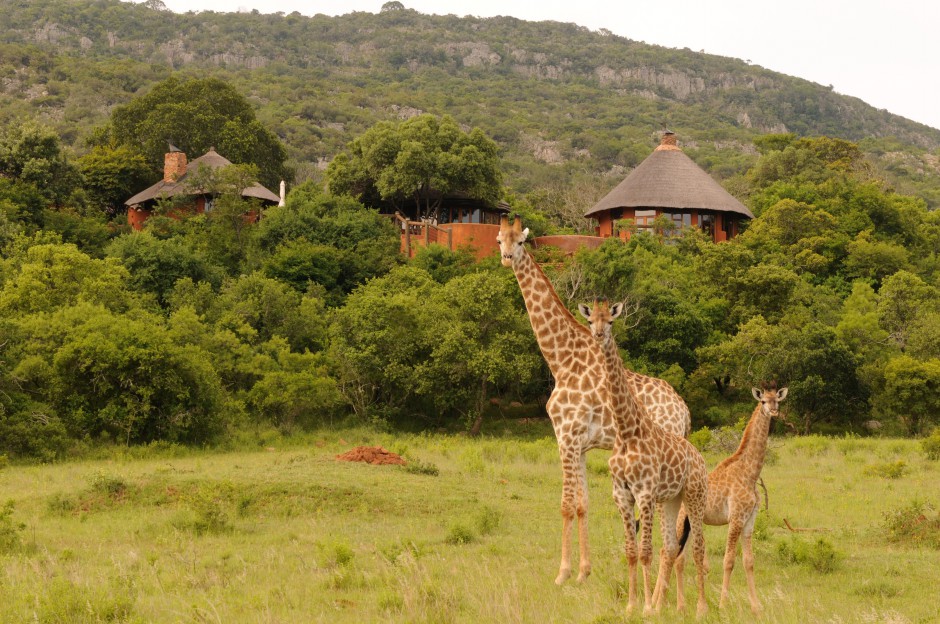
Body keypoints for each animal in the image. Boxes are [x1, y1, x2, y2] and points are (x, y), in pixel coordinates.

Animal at [576, 300, 708, 616]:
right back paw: (675, 606)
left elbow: (646, 552)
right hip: (672, 499)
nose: (599, 335)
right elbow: (631, 552)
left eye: (611, 321)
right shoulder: (622, 494)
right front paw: (632, 605)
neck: (626, 431)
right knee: (672, 547)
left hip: (695, 495)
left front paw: (647, 608)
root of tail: (700, 458)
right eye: (590, 321)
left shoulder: (645, 492)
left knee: (698, 549)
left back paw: (702, 608)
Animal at [676, 380, 784, 616]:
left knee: (678, 558)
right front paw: (723, 604)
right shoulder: (735, 517)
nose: (774, 411)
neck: (749, 473)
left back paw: (679, 605)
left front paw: (756, 606)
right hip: (682, 521)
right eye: (763, 401)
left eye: (777, 400)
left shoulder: (749, 519)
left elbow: (749, 561)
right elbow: (728, 560)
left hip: (690, 524)